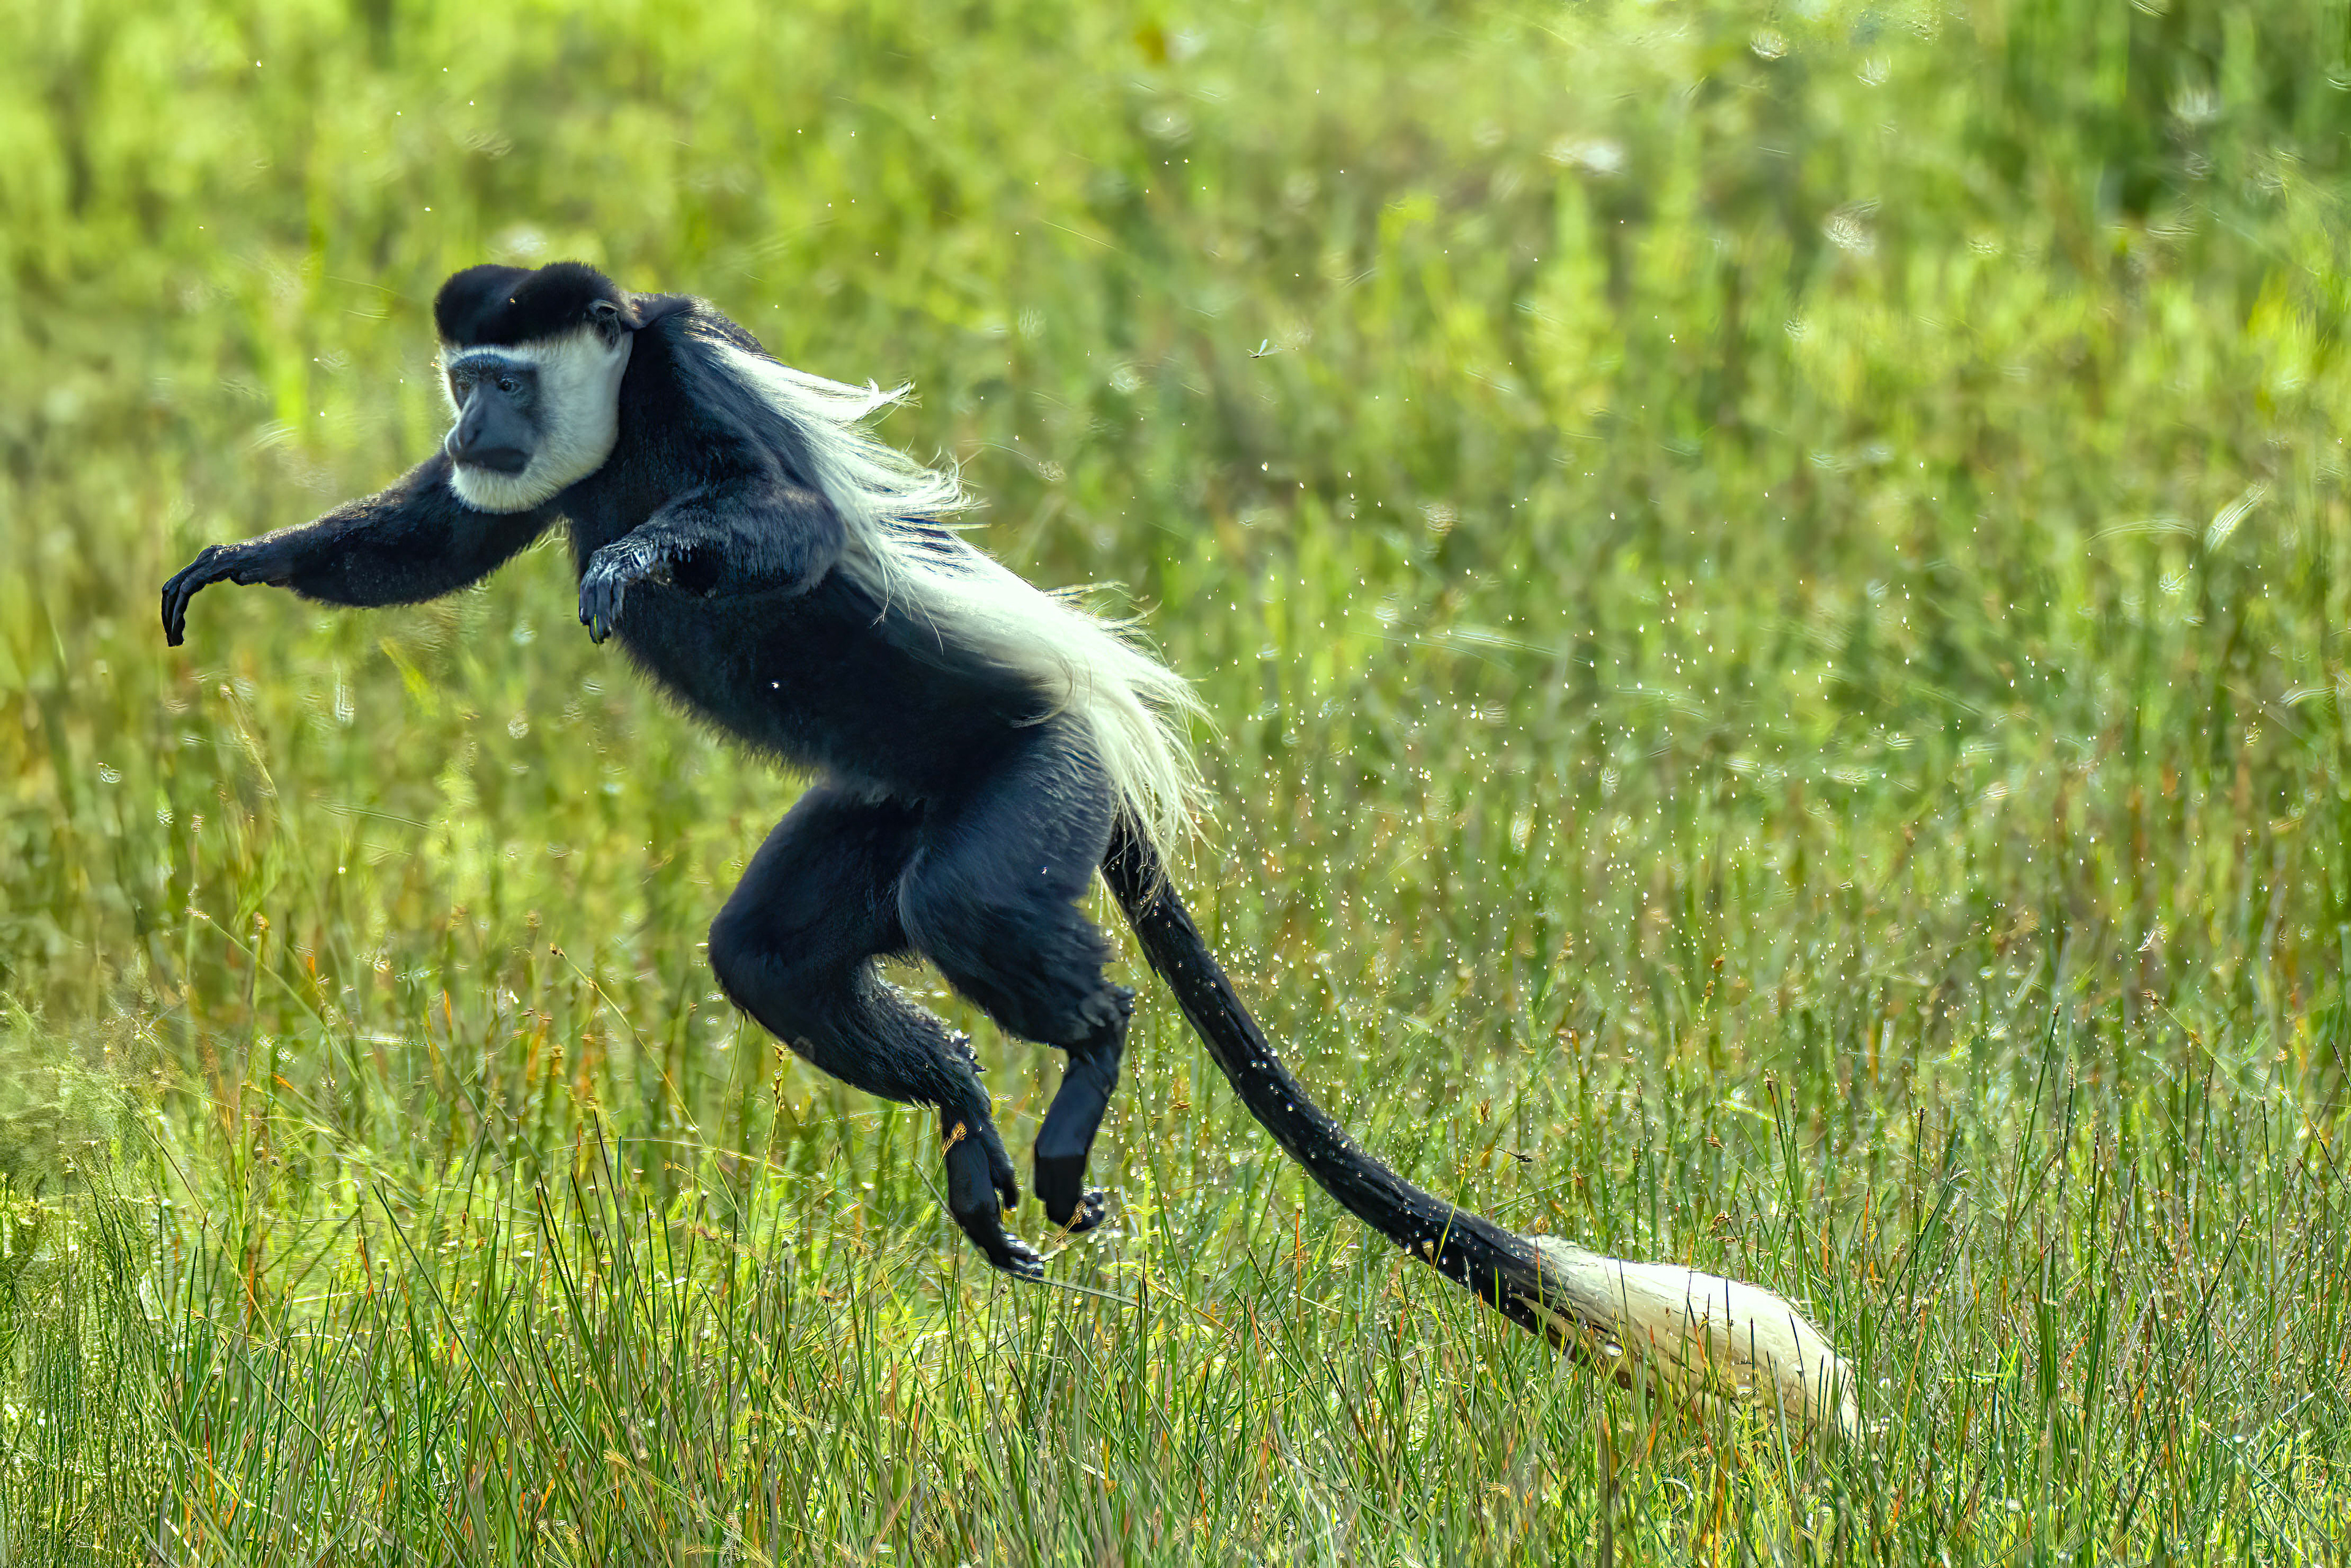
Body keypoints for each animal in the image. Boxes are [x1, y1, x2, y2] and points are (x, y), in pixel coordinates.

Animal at [160, 265, 1855, 1429]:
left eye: (502, 376)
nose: (466, 421)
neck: (618, 408)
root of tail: (1099, 763)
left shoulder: (698, 401)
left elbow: (781, 523)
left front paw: (644, 555)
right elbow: (440, 538)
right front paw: (238, 559)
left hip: (1030, 778)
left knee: (971, 904)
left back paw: (1073, 1082)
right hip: (890, 795)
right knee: (775, 954)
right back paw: (966, 1119)